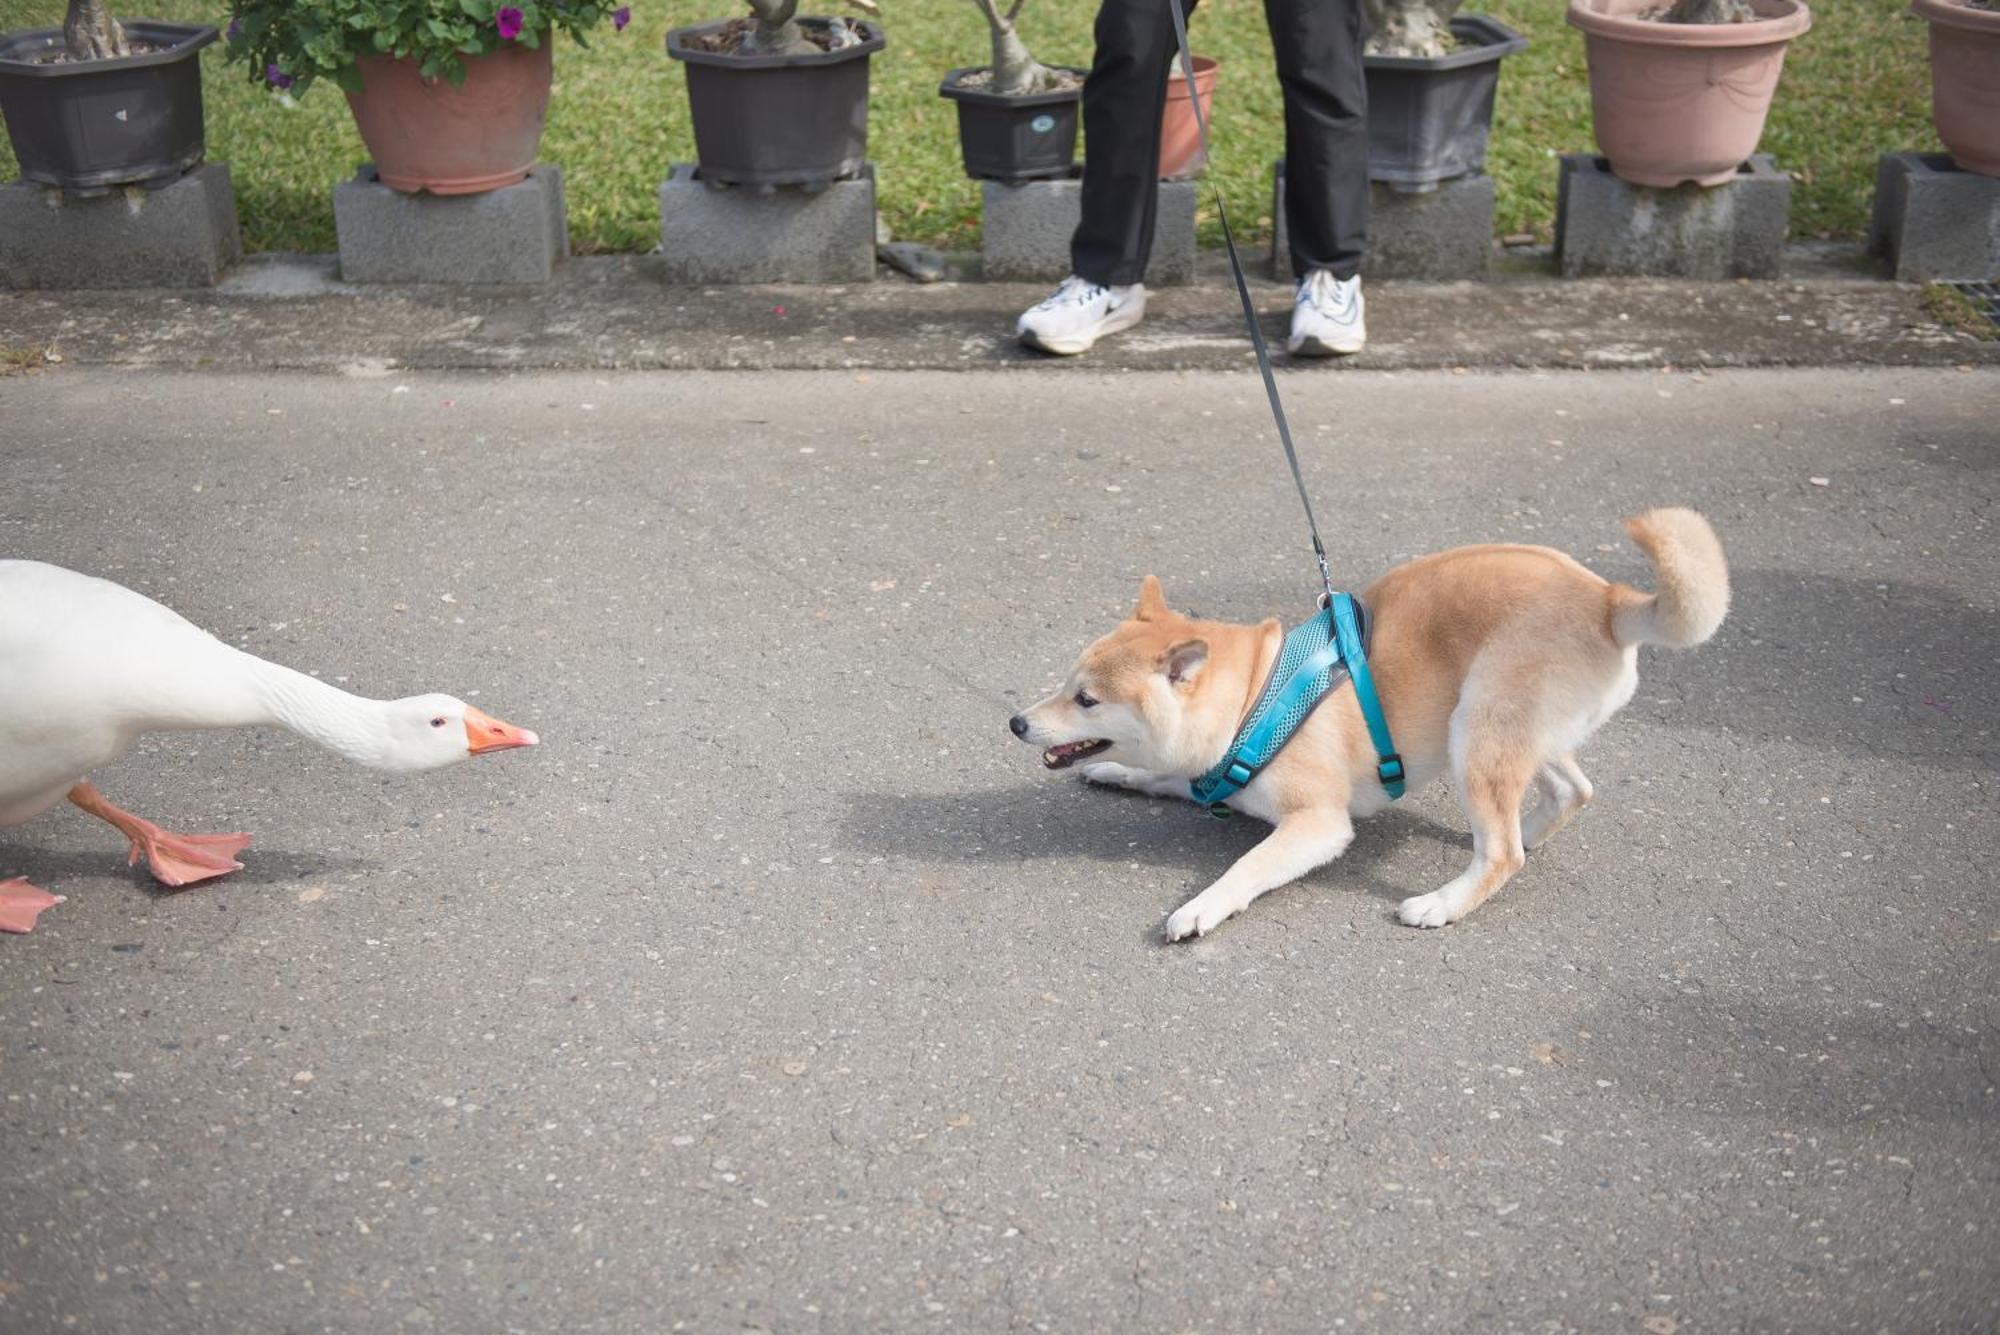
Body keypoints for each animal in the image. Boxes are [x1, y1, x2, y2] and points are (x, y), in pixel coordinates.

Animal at [1008, 507, 1728, 939]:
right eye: (1067, 685)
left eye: (1086, 700)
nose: (1017, 721)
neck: (1253, 698)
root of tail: (1607, 599)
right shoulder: (1206, 770)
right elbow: (1164, 778)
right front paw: (1115, 770)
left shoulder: (1318, 823)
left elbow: (1246, 867)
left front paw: (1200, 906)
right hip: (1511, 729)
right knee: (1569, 793)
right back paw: (1523, 831)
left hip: (1476, 726)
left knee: (1503, 851)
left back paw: (1444, 900)